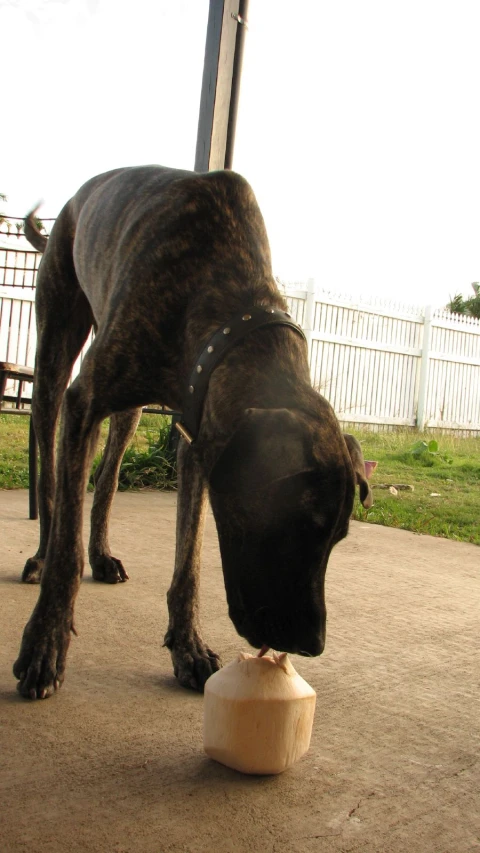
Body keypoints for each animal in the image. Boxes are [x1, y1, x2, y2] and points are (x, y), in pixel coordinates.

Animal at [14, 166, 368, 700]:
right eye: (297, 525)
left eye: (339, 537)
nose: (314, 645)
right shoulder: (85, 402)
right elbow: (65, 554)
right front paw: (44, 646)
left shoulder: (198, 437)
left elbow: (189, 564)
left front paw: (188, 648)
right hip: (53, 364)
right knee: (54, 485)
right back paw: (40, 556)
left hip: (128, 411)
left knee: (107, 477)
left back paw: (100, 554)